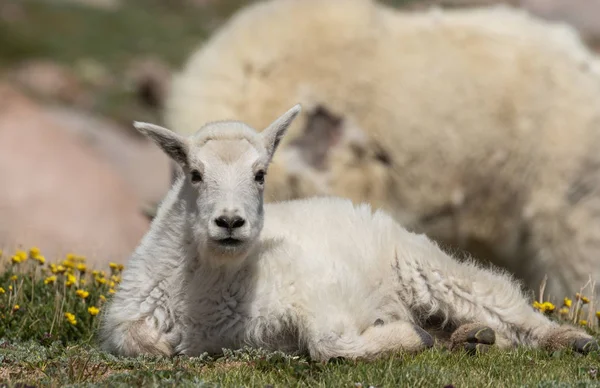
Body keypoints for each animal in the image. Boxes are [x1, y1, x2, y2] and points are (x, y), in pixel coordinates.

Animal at [98, 104, 596, 360]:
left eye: (260, 174)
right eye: (195, 174)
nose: (230, 222)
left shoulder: (316, 292)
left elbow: (329, 346)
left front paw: (405, 338)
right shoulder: (130, 318)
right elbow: (146, 346)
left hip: (424, 266)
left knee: (502, 301)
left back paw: (568, 339)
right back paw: (469, 337)